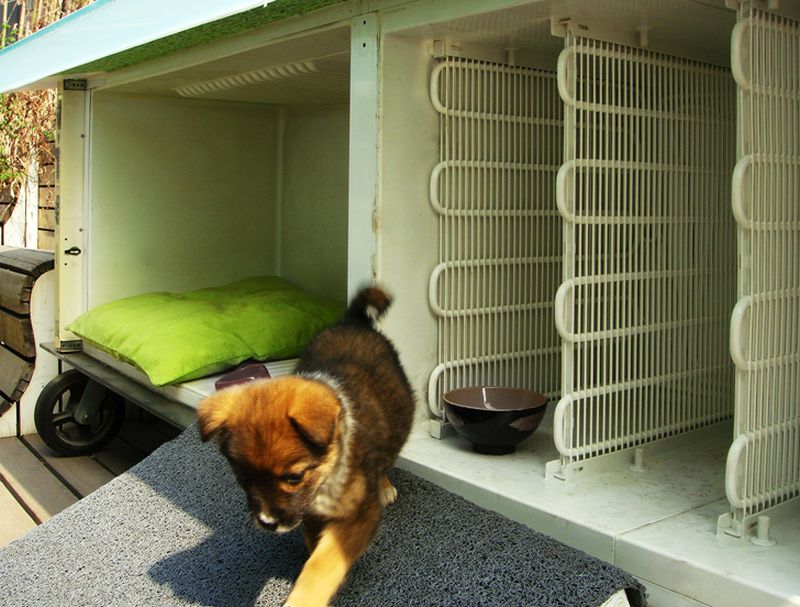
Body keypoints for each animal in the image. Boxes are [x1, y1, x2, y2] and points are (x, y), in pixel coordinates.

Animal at [198, 286, 412, 607]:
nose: (268, 523)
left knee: (387, 455)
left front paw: (304, 597)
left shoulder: (360, 513)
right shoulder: (310, 517)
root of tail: (354, 321)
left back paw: (384, 485)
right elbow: (315, 547)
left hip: (399, 418)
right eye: (243, 478)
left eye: (294, 477)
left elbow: (324, 563)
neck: (327, 473)